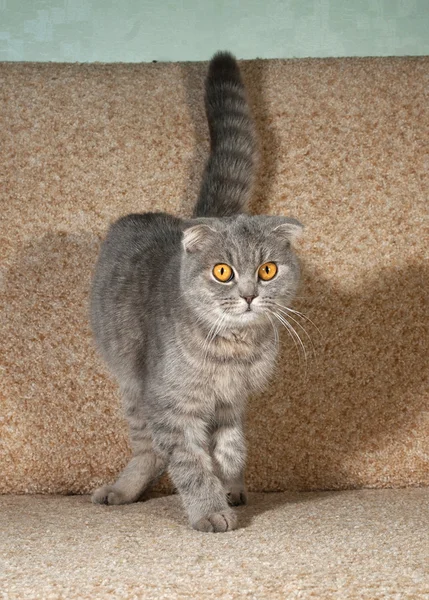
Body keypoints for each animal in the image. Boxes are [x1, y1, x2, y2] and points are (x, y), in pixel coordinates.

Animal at [90, 50, 300, 528]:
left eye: (267, 270)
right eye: (223, 271)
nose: (249, 295)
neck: (233, 351)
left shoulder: (232, 401)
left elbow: (231, 446)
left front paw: (229, 479)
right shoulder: (171, 405)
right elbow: (190, 463)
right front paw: (210, 510)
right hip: (134, 387)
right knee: (148, 450)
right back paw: (123, 490)